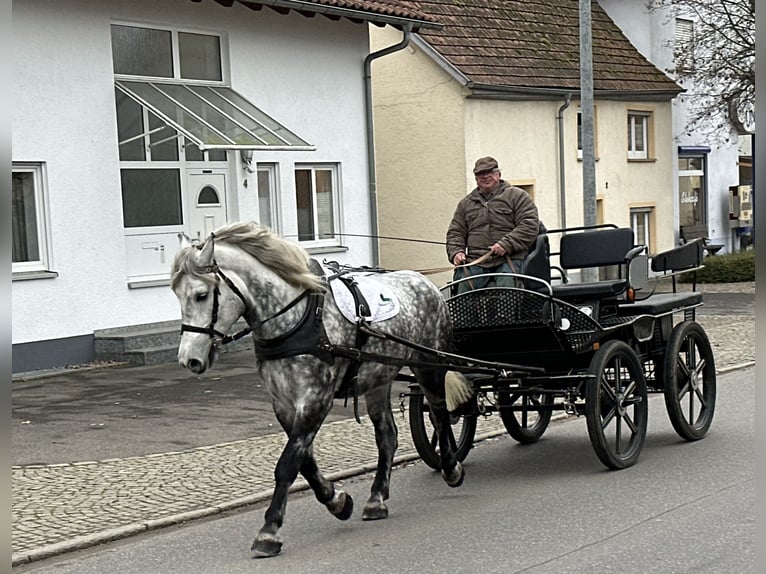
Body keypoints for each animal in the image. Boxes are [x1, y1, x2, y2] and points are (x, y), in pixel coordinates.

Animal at [172, 223, 474, 560]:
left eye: (201, 295)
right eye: (176, 294)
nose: (189, 359)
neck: (296, 318)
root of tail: (427, 284)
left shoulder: (317, 398)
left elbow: (288, 464)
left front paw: (269, 531)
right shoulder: (284, 403)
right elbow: (303, 460)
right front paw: (337, 501)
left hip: (428, 365)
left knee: (439, 413)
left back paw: (451, 467)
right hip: (378, 378)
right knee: (388, 436)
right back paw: (377, 498)